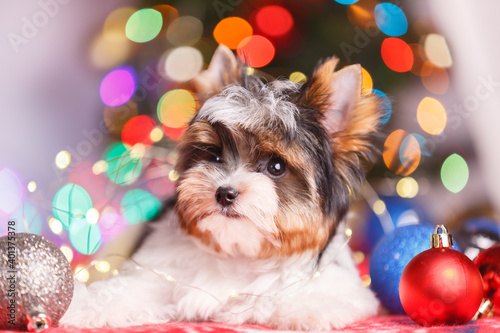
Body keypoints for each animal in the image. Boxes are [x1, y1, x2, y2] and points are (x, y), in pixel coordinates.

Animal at [61, 46, 382, 330]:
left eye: (276, 167)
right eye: (214, 156)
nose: (224, 193)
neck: (238, 252)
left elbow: (286, 296)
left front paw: (305, 311)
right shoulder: (157, 271)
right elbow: (130, 289)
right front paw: (82, 305)